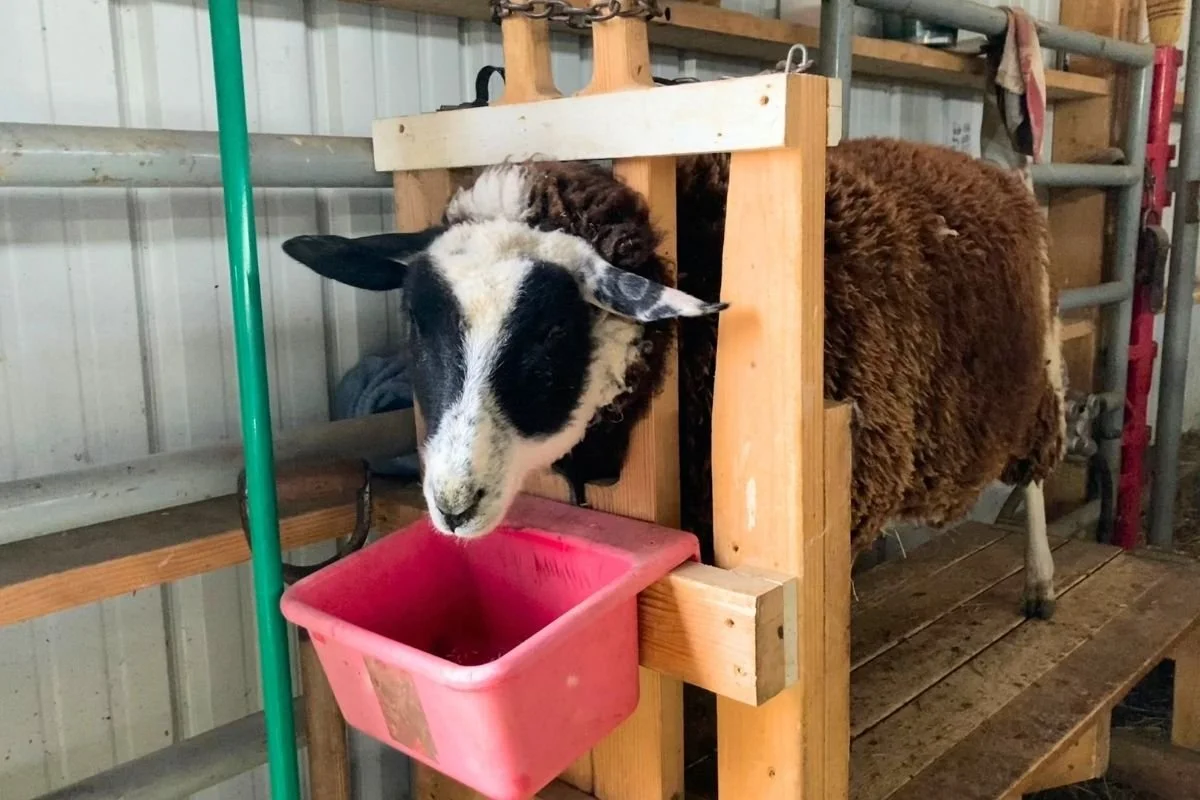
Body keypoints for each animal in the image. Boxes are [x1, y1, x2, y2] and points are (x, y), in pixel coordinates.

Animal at [281, 136, 1065, 621]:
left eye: (552, 330)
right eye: (417, 321)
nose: (453, 504)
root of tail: (991, 169)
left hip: (1040, 380)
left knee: (1035, 478)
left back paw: (1041, 584)